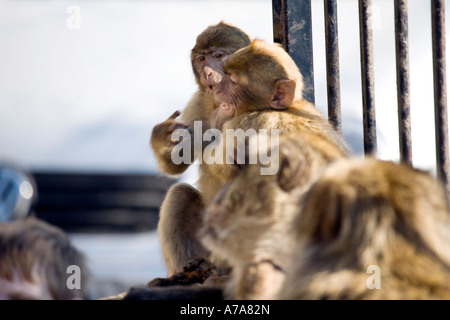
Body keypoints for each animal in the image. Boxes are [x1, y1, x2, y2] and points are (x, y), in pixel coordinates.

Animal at [151, 21, 253, 276]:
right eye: (201, 59)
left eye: (218, 56)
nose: (208, 72)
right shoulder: (199, 101)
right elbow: (176, 165)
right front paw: (162, 136)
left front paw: (204, 138)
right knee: (179, 195)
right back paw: (186, 273)